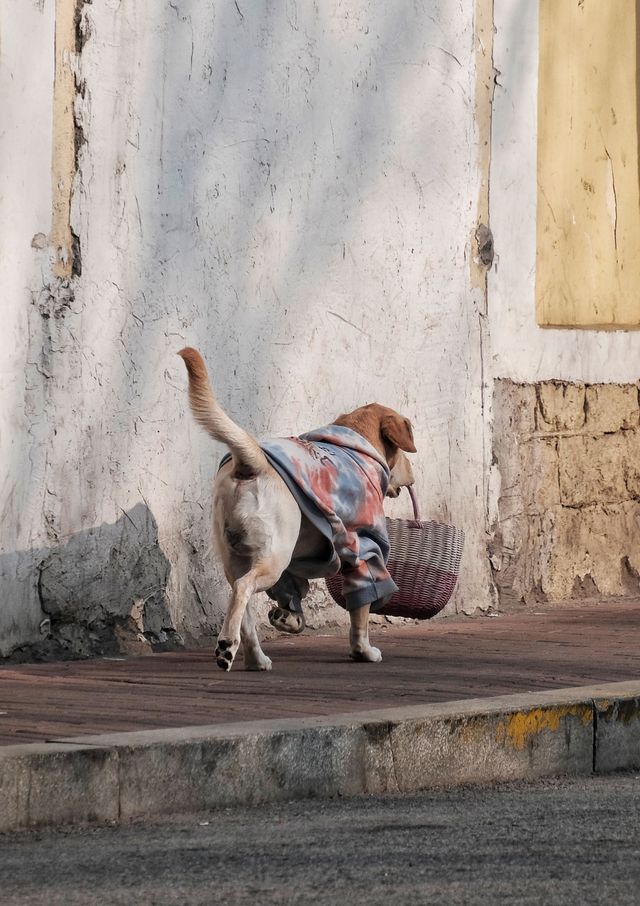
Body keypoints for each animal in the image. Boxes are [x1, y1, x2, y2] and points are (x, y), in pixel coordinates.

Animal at [176, 346, 416, 672]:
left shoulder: (300, 564)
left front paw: (287, 619)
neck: (357, 444)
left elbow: (292, 599)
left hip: (240, 558)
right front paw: (363, 652)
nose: (412, 472)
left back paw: (255, 659)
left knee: (242, 605)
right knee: (243, 589)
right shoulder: (367, 551)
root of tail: (252, 463)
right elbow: (361, 614)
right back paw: (227, 646)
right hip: (274, 558)